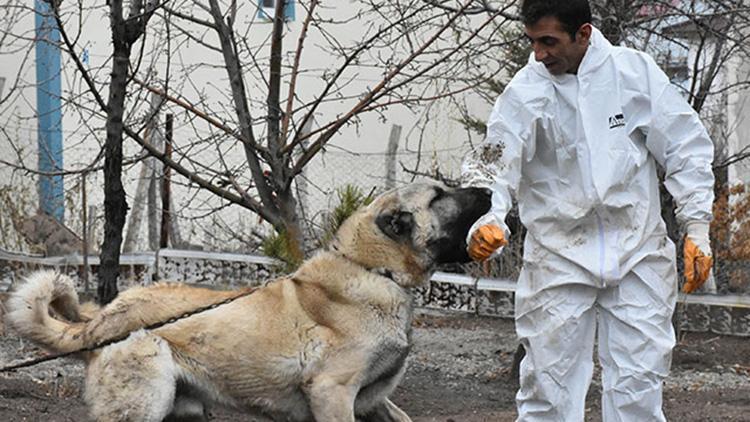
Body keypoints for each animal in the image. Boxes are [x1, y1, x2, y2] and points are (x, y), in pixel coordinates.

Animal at [5, 183, 494, 420]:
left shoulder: (371, 403)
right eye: (439, 196)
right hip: (143, 405)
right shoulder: (333, 394)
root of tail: (105, 320)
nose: (490, 192)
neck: (373, 269)